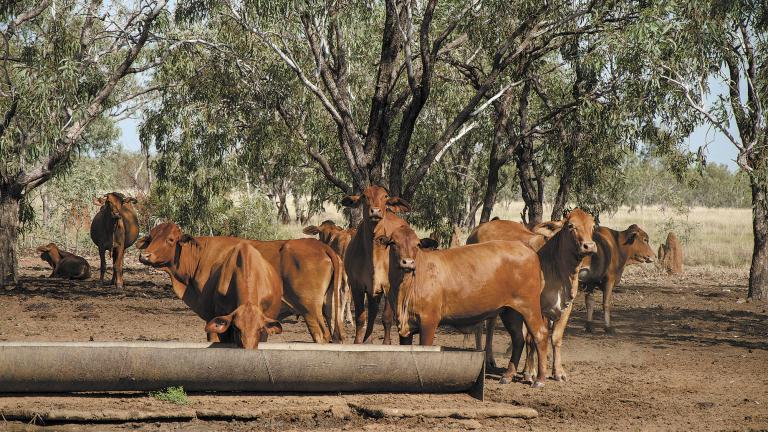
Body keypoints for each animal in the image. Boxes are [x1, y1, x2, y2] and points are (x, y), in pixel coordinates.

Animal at [342, 186, 412, 344]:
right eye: (364, 196)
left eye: (385, 196)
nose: (375, 211)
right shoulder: (357, 286)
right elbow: (361, 318)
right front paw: (358, 342)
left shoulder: (389, 286)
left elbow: (386, 318)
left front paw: (386, 343)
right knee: (373, 313)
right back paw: (368, 340)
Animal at [380, 224, 548, 386]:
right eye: (393, 243)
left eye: (417, 244)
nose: (408, 262)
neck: (405, 288)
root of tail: (524, 247)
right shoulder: (405, 326)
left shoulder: (429, 321)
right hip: (510, 310)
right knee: (518, 338)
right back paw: (508, 375)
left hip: (530, 306)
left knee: (540, 334)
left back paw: (539, 379)